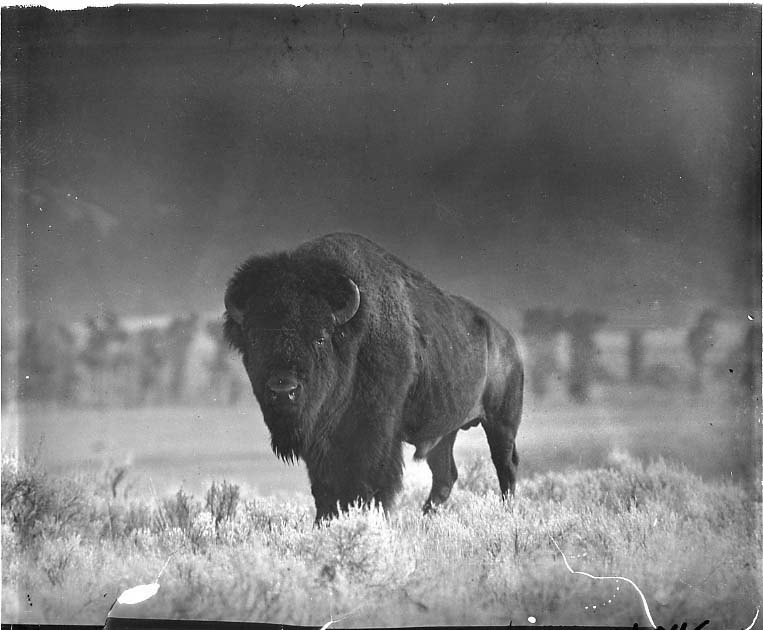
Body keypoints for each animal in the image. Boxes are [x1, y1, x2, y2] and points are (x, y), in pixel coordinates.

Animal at [224, 233, 523, 520]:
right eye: (255, 340)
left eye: (320, 338)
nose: (284, 389)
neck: (352, 339)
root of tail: (507, 340)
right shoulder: (319, 443)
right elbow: (324, 489)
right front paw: (324, 522)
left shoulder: (377, 433)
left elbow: (370, 484)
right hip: (445, 434)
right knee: (445, 475)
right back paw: (425, 518)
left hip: (500, 423)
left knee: (505, 467)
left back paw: (507, 512)